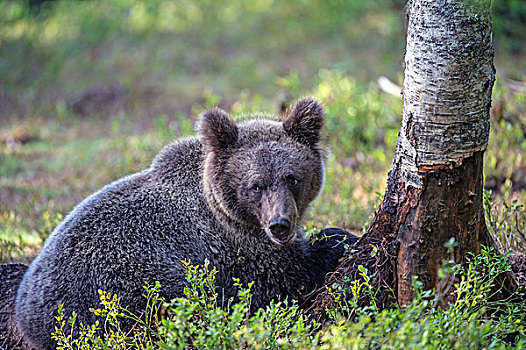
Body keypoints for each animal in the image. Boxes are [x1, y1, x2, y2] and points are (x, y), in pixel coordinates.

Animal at [14, 97, 358, 348]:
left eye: (292, 178)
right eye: (255, 186)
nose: (280, 224)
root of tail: (27, 316)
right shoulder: (236, 251)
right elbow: (283, 281)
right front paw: (340, 240)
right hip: (122, 284)